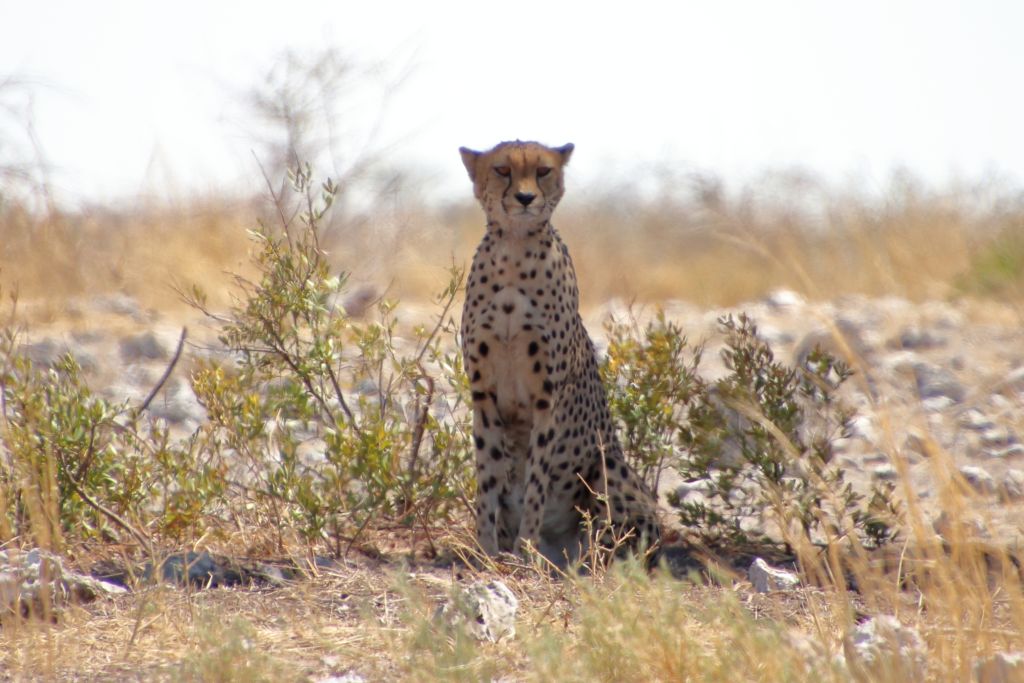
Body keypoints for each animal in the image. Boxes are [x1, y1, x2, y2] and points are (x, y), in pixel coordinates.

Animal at [458, 140, 663, 565]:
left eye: (543, 170)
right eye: (502, 170)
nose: (524, 198)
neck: (515, 248)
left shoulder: (545, 398)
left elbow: (537, 481)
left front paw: (524, 552)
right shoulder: (483, 396)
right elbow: (487, 479)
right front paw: (486, 550)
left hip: (608, 468)